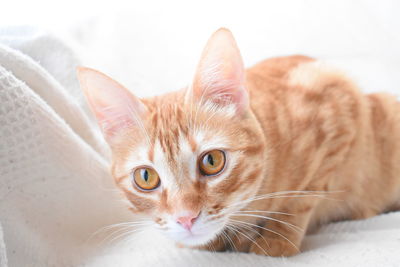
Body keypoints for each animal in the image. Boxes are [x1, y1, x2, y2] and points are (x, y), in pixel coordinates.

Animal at [76, 28, 400, 256]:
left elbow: (303, 197)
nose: (185, 219)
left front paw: (276, 239)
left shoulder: (338, 99)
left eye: (212, 161)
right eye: (146, 177)